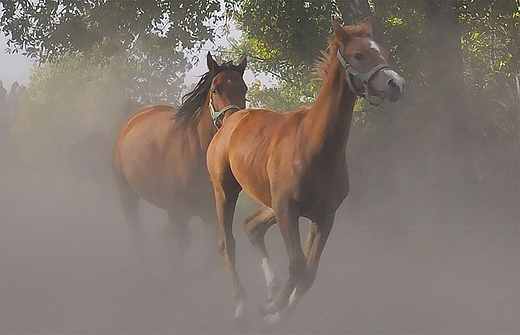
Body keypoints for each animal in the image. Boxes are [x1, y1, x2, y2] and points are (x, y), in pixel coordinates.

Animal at [112, 51, 247, 266]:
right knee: (138, 236)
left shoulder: (210, 213)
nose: (232, 121)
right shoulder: (178, 213)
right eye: (215, 90)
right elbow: (181, 250)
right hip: (128, 195)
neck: (197, 153)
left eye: (243, 88)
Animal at [207, 18, 406, 326]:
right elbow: (297, 264)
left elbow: (309, 273)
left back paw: (270, 292)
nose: (396, 83)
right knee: (227, 244)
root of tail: (231, 119)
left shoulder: (323, 216)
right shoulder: (287, 210)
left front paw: (278, 312)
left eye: (383, 52)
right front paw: (272, 310)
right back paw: (241, 306)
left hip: (269, 203)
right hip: (226, 192)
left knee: (252, 226)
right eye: (359, 55)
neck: (314, 144)